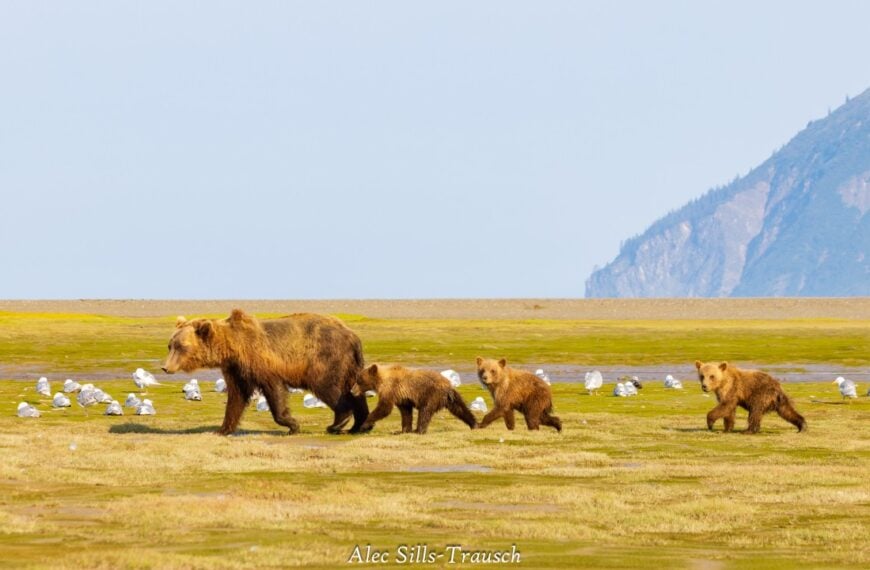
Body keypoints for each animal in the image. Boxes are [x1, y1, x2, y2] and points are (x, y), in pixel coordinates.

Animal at [162, 309, 369, 435]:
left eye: (181, 347)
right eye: (170, 345)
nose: (165, 367)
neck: (233, 348)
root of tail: (353, 336)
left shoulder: (261, 362)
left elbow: (275, 392)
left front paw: (292, 425)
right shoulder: (236, 370)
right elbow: (236, 398)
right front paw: (221, 429)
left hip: (326, 357)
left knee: (327, 386)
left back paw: (338, 422)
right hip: (350, 364)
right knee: (355, 391)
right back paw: (360, 425)